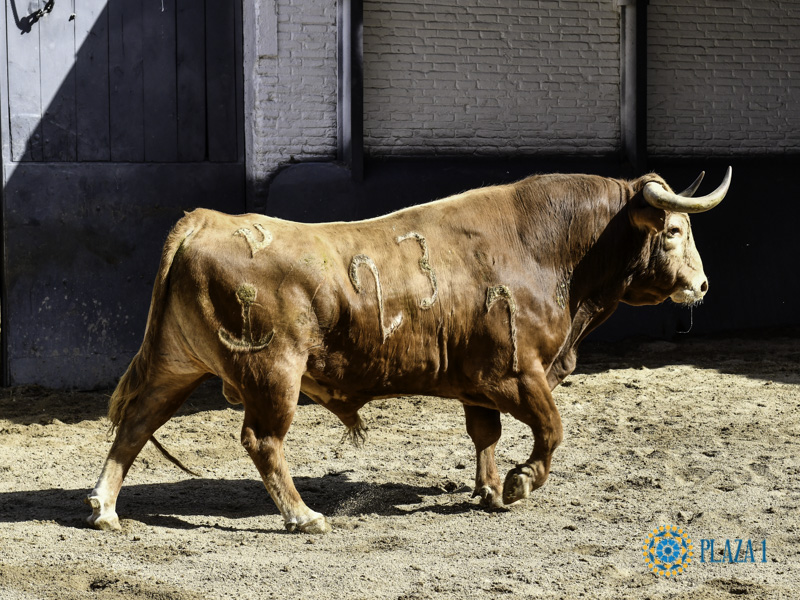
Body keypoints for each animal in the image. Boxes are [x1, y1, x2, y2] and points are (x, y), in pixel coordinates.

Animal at [86, 167, 731, 533]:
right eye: (674, 230)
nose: (702, 285)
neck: (541, 249)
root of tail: (204, 220)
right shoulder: (517, 374)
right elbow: (551, 429)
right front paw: (520, 482)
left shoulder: (479, 384)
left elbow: (486, 434)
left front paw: (488, 490)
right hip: (273, 374)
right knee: (261, 440)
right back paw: (302, 516)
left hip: (176, 365)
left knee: (136, 423)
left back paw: (105, 507)